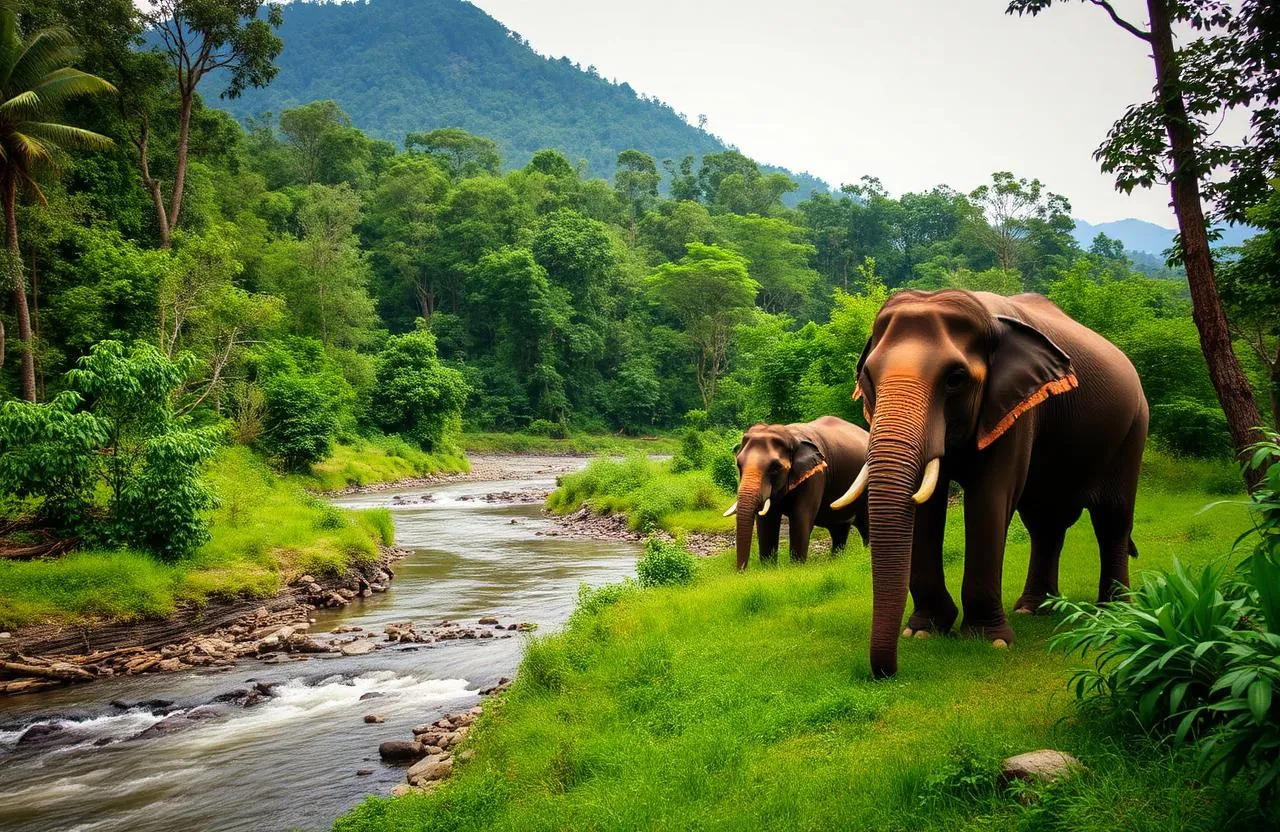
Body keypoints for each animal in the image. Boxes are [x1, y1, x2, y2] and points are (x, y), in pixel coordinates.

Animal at [725, 415, 870, 570]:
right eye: (739, 465)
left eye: (775, 468)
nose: (741, 570)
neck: (791, 435)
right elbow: (767, 520)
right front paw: (767, 567)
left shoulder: (816, 475)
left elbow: (801, 516)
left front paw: (796, 566)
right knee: (839, 530)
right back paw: (835, 559)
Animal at [830, 289, 1148, 678]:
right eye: (869, 378)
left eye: (955, 379)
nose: (886, 672)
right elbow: (928, 504)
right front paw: (923, 632)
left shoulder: (1017, 410)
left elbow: (989, 498)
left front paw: (988, 641)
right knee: (1046, 523)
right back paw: (1034, 609)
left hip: (1133, 429)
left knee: (1111, 519)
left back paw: (1113, 610)